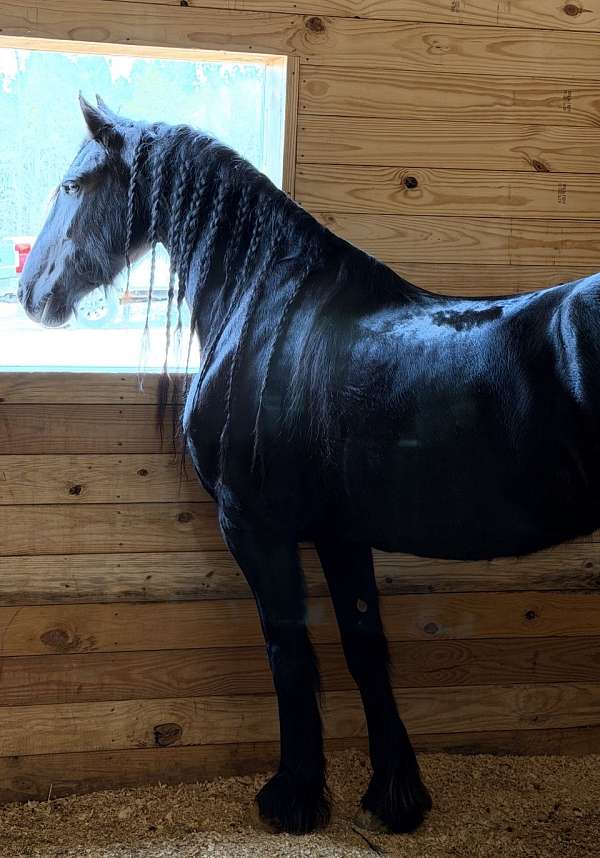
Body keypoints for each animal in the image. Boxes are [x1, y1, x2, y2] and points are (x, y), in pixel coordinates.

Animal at [19, 95, 600, 835]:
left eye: (72, 186)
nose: (30, 293)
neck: (271, 312)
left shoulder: (254, 527)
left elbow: (288, 649)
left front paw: (294, 797)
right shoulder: (340, 533)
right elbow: (364, 647)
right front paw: (395, 795)